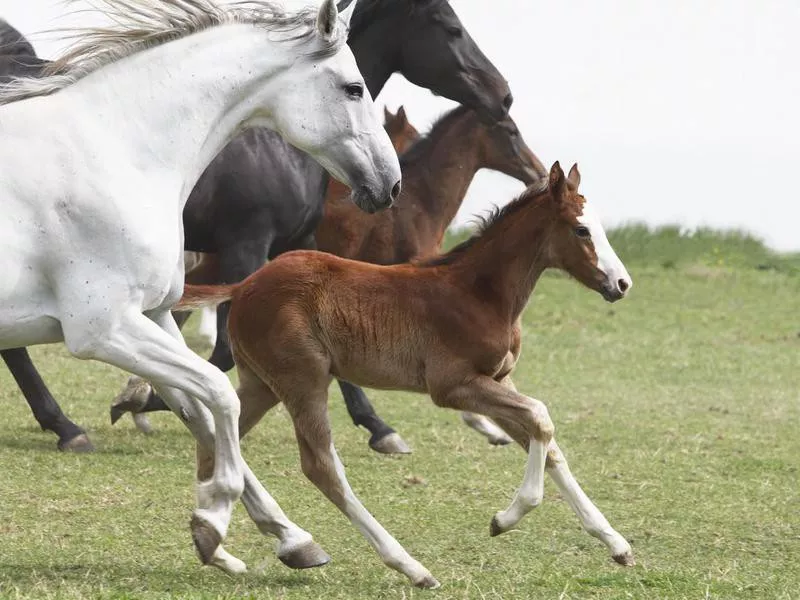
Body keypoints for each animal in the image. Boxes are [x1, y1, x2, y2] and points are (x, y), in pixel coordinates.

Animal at [0, 0, 400, 576]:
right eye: (353, 87)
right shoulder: (104, 330)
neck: (114, 152)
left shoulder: (155, 317)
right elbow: (220, 394)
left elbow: (201, 412)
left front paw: (290, 539)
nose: (390, 184)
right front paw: (212, 523)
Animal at [177, 162, 636, 588]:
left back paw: (213, 543)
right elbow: (542, 417)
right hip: (303, 379)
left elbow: (547, 443)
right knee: (321, 465)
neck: (479, 292)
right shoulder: (453, 386)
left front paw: (616, 544)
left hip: (263, 384)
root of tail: (245, 285)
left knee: (214, 436)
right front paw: (505, 519)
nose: (621, 283)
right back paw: (410, 566)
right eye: (581, 230)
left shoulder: (500, 380)